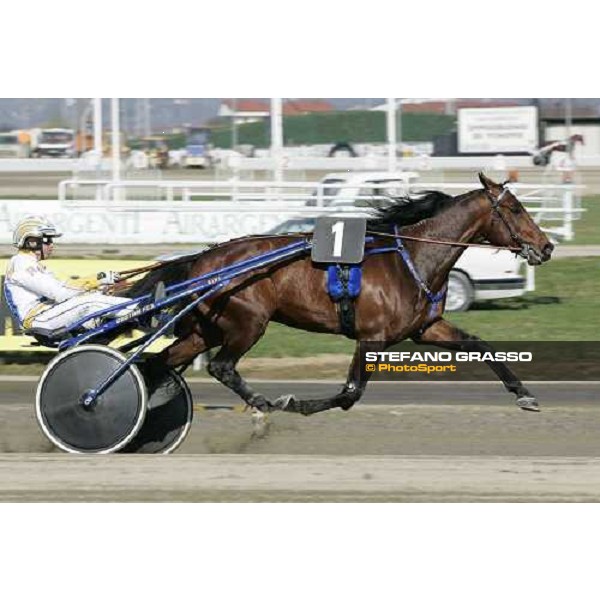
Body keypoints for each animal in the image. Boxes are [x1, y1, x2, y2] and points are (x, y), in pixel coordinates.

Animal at [129, 173, 556, 414]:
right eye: (515, 210)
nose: (547, 246)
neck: (412, 257)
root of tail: (202, 259)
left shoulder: (425, 329)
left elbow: (480, 344)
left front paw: (524, 394)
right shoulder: (372, 338)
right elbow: (351, 392)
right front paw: (295, 404)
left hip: (207, 329)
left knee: (162, 360)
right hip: (248, 322)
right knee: (221, 367)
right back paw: (260, 401)